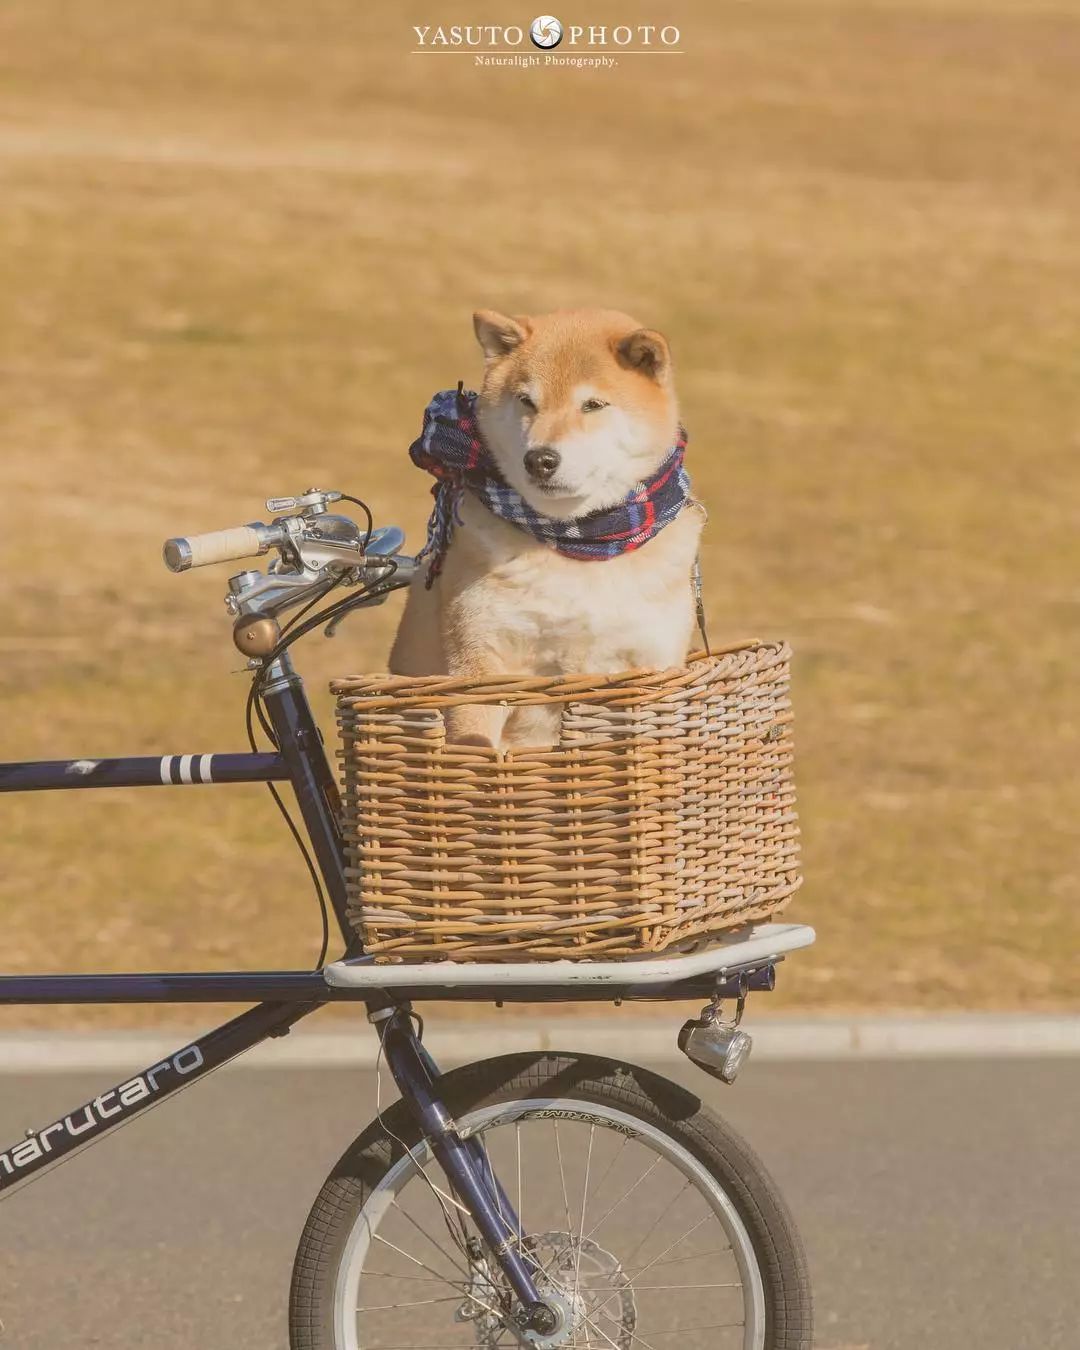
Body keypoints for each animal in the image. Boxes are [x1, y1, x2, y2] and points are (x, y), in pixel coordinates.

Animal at [391, 307, 702, 750]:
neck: (581, 540)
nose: (539, 459)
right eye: (527, 401)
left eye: (593, 404)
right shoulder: (479, 667)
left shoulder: (654, 664)